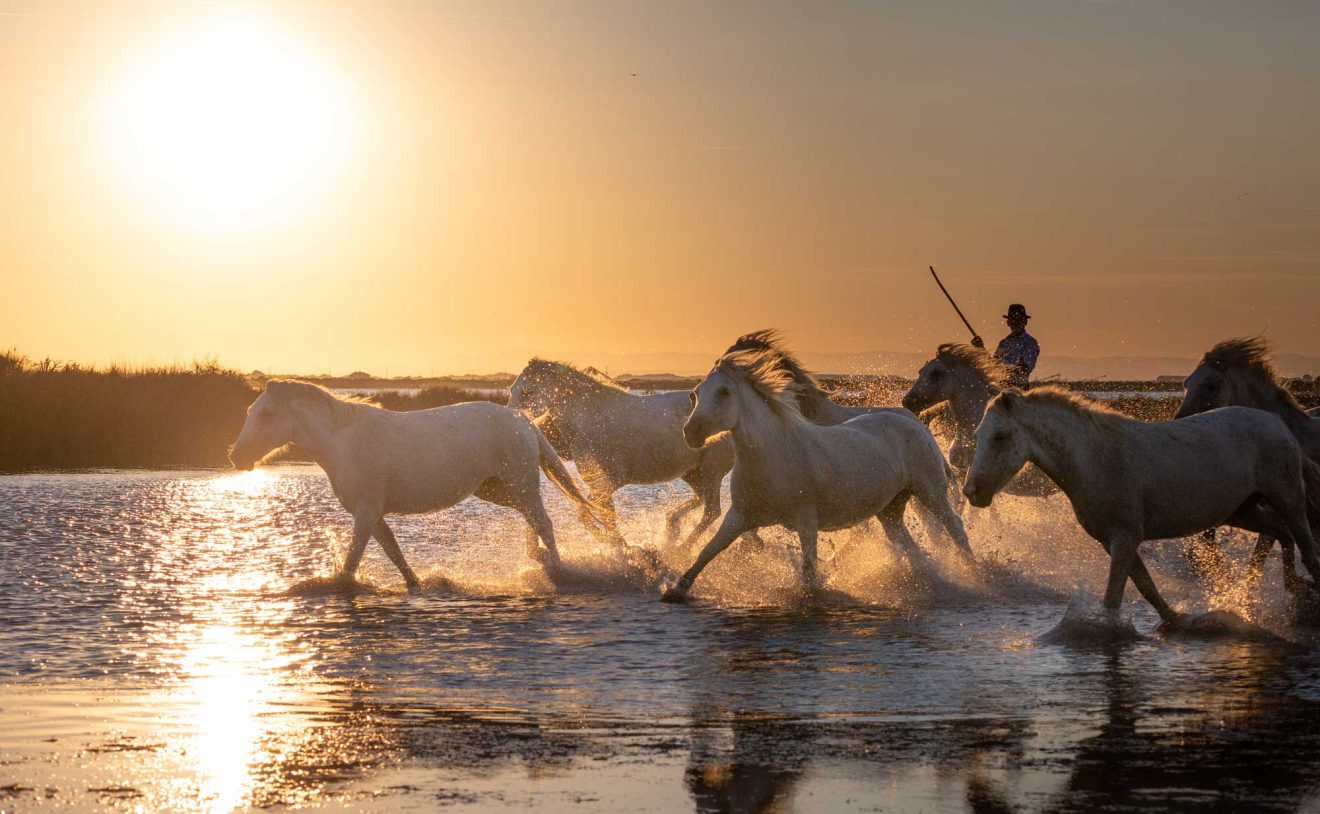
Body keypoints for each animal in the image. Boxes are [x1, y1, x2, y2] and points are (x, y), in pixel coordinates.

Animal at [229, 379, 606, 590]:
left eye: (266, 414)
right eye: (248, 411)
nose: (236, 457)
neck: (343, 443)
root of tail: (522, 421)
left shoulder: (365, 513)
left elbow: (351, 563)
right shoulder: (374, 515)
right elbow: (394, 553)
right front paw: (418, 584)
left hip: (520, 484)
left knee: (544, 523)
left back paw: (558, 572)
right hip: (499, 490)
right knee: (532, 520)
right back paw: (538, 560)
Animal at [507, 359, 737, 549]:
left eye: (527, 391)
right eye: (511, 390)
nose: (512, 423)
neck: (590, 418)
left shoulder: (610, 480)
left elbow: (587, 515)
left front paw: (613, 543)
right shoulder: (598, 483)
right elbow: (608, 518)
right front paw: (622, 548)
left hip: (712, 468)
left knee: (712, 511)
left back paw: (681, 548)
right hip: (691, 471)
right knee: (700, 499)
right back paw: (671, 528)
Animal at [661, 342, 972, 602]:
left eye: (724, 392)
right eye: (695, 394)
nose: (691, 432)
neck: (770, 456)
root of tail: (917, 424)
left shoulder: (806, 520)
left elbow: (809, 569)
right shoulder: (739, 516)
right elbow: (709, 549)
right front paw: (676, 589)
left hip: (930, 492)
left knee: (955, 529)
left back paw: (974, 572)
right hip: (890, 510)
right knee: (909, 547)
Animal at [963, 386, 1320, 625]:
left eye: (1001, 436)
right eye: (979, 435)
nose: (971, 492)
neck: (1096, 459)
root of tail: (1277, 423)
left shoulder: (1125, 537)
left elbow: (1114, 598)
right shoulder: (1111, 541)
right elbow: (1146, 587)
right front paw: (1175, 620)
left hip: (1287, 498)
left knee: (1306, 548)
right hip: (1242, 510)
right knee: (1281, 534)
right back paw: (1290, 588)